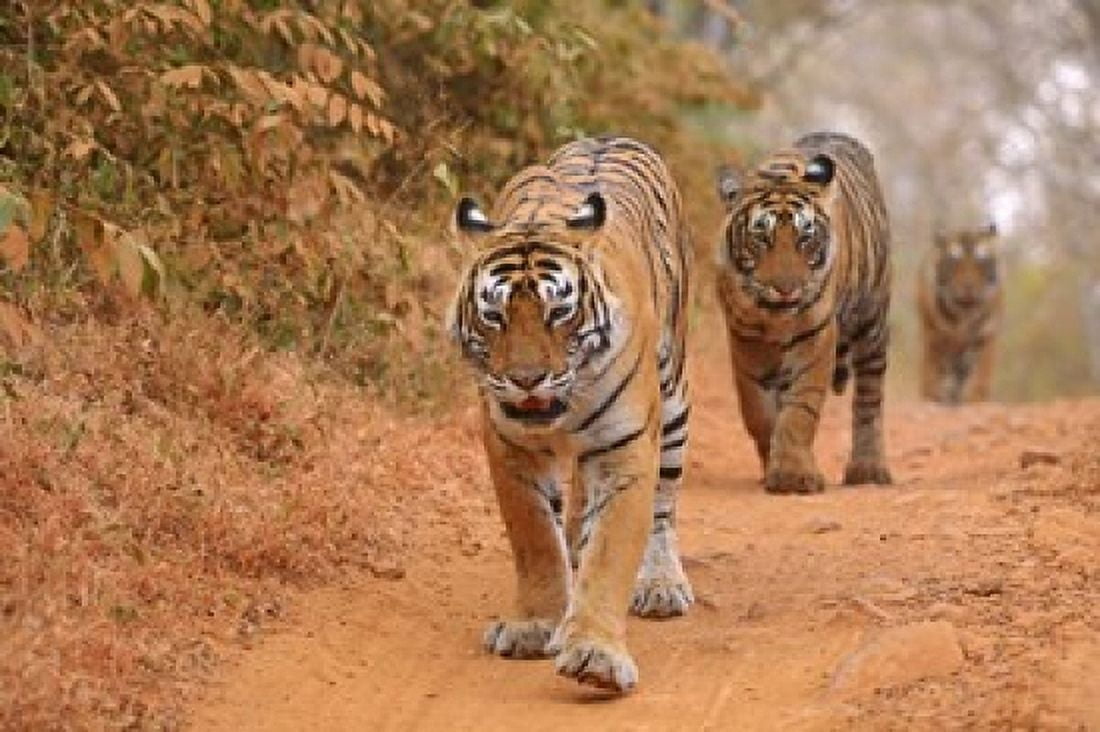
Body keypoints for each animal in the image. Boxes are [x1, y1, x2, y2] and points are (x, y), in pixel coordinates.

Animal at [447, 136, 694, 694]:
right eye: (494, 315)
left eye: (559, 311)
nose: (526, 379)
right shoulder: (510, 448)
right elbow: (537, 540)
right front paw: (535, 625)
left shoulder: (625, 448)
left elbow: (611, 553)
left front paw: (595, 654)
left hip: (672, 402)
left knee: (663, 508)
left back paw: (661, 585)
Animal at [714, 131, 893, 494]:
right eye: (761, 237)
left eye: (805, 238)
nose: (786, 289)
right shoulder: (745, 339)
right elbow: (758, 410)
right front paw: (773, 464)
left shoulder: (816, 336)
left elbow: (799, 409)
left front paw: (792, 475)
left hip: (872, 323)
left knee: (868, 399)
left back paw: (868, 469)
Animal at [917, 223, 1002, 404]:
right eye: (955, 260)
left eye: (980, 260)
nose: (968, 285)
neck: (964, 311)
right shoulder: (933, 334)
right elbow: (931, 369)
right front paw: (932, 396)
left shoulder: (986, 335)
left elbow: (982, 371)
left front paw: (977, 398)